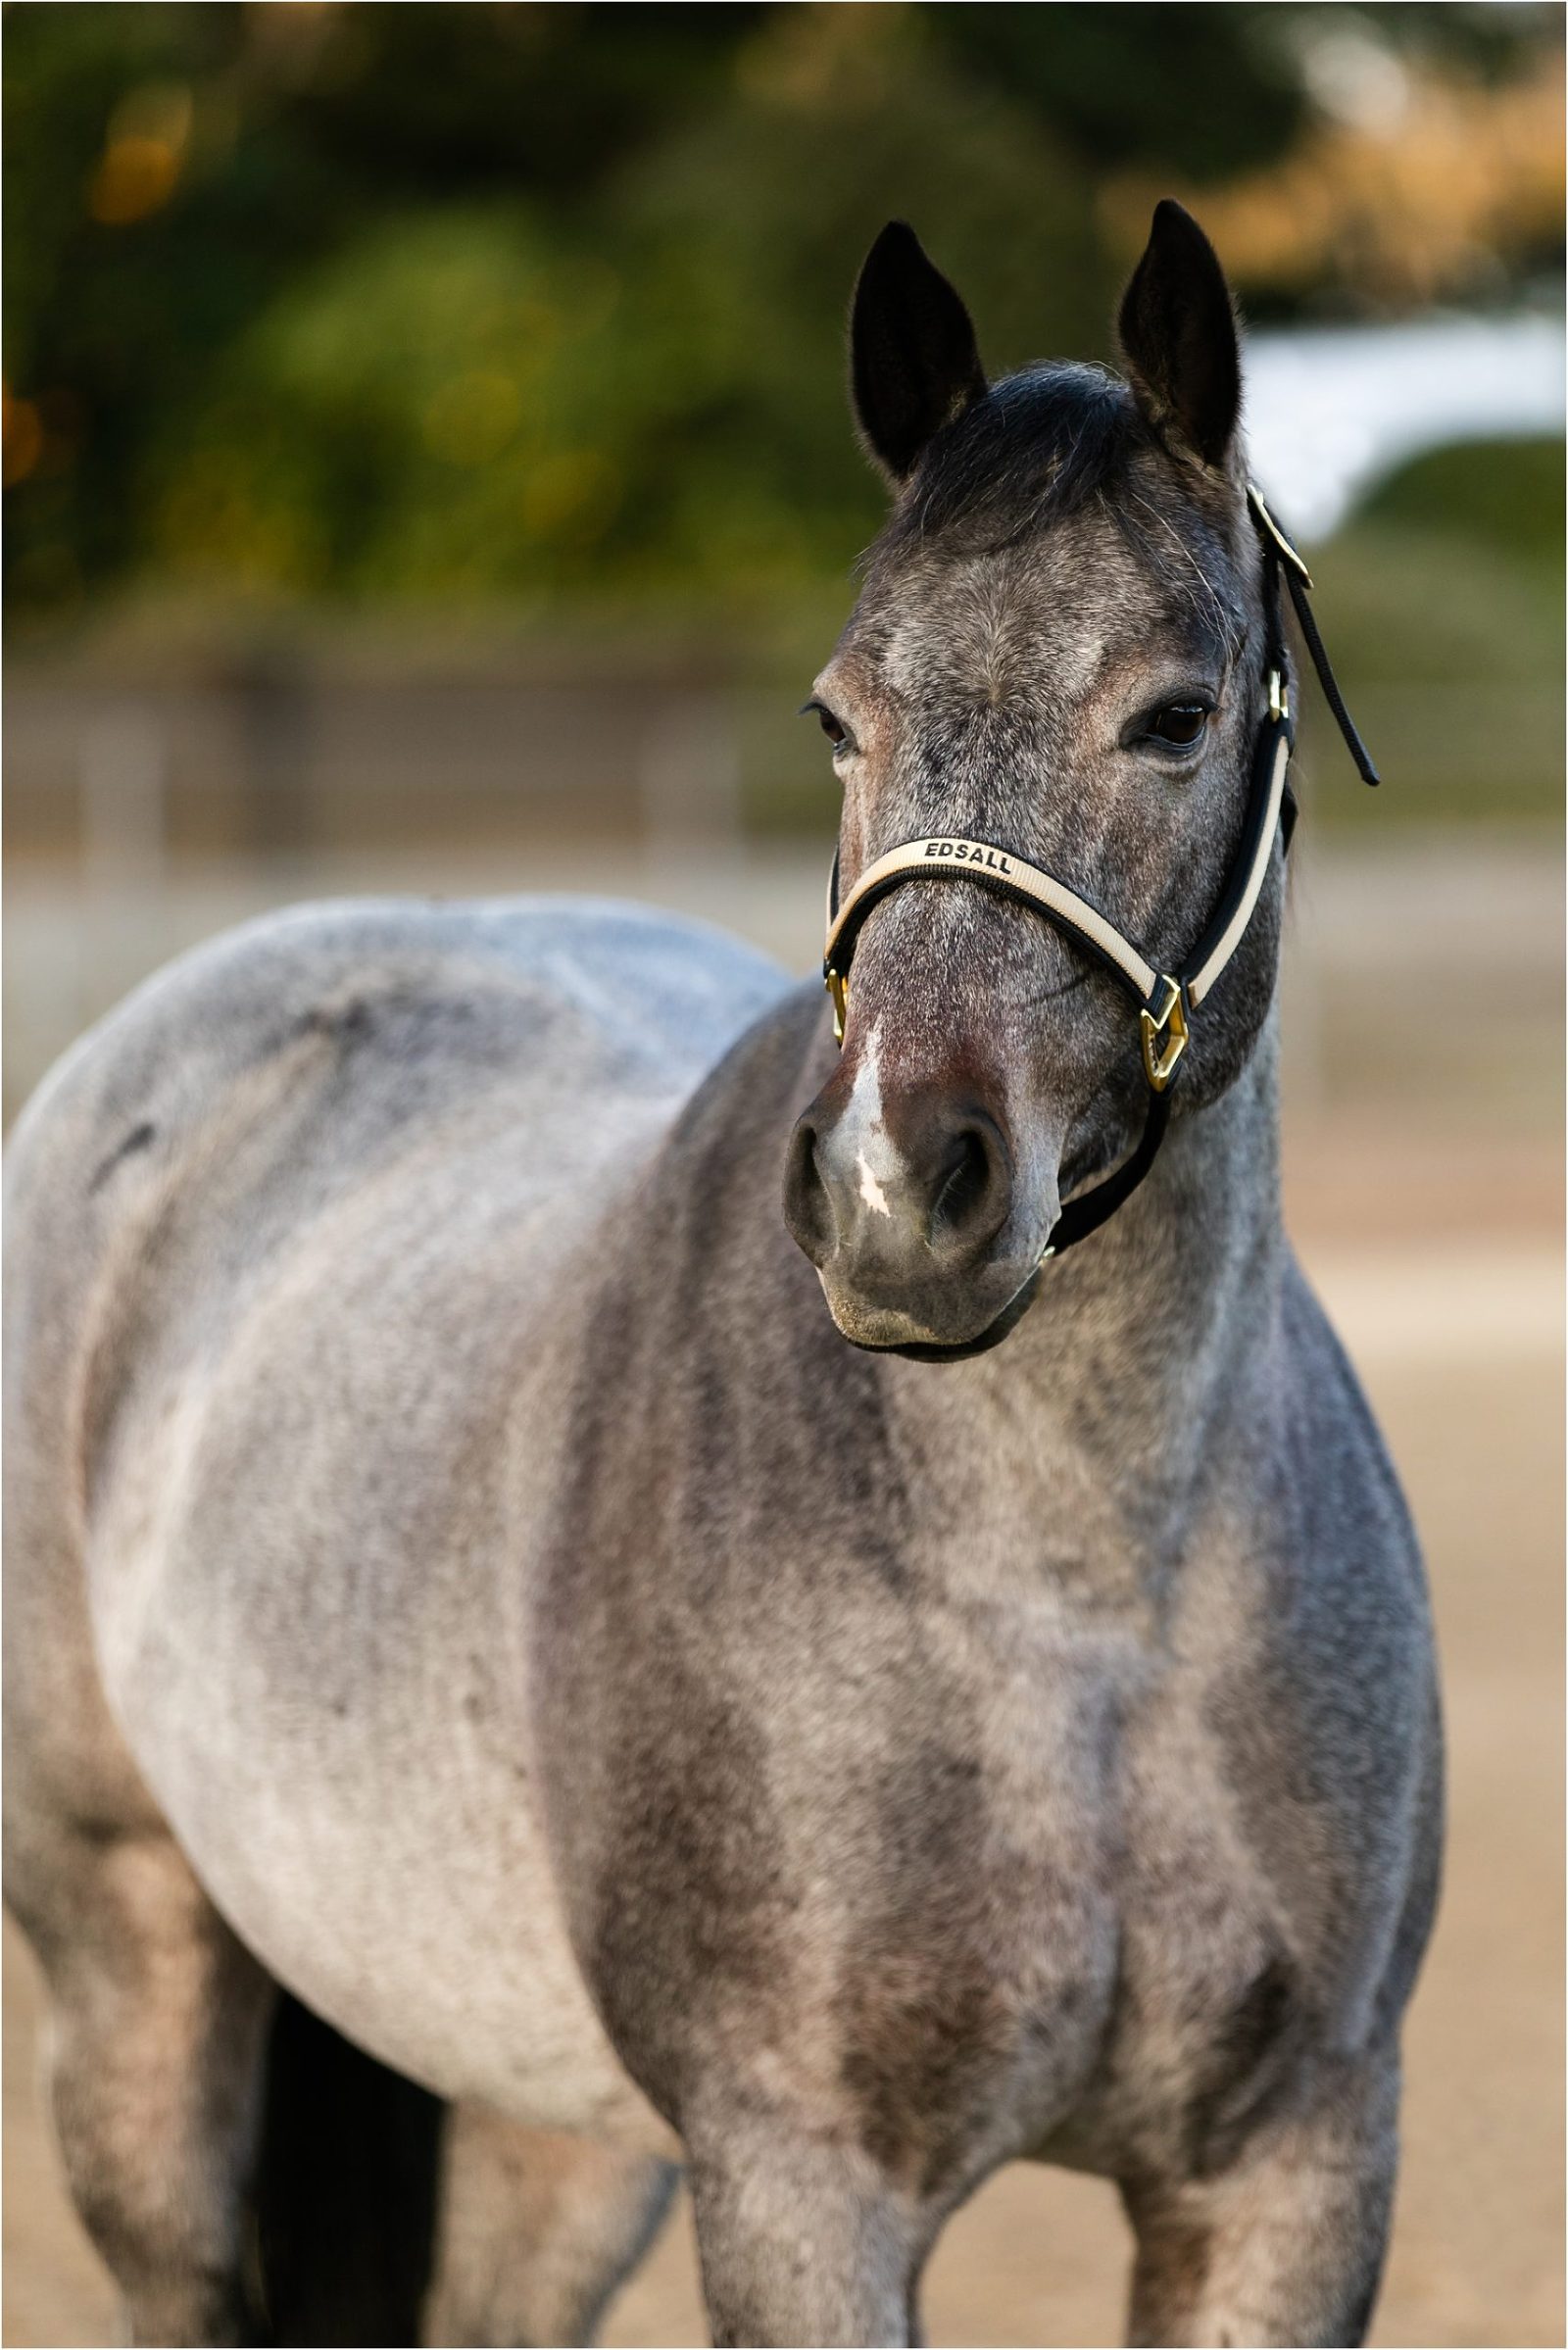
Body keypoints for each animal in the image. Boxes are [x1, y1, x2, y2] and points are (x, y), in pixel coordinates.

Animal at [3, 207, 1447, 2350]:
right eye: (835, 717)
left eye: (1175, 714)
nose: (893, 1193)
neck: (1088, 1597)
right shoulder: (799, 2181)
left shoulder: (1290, 2174)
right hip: (139, 1986)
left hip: (546, 2127)